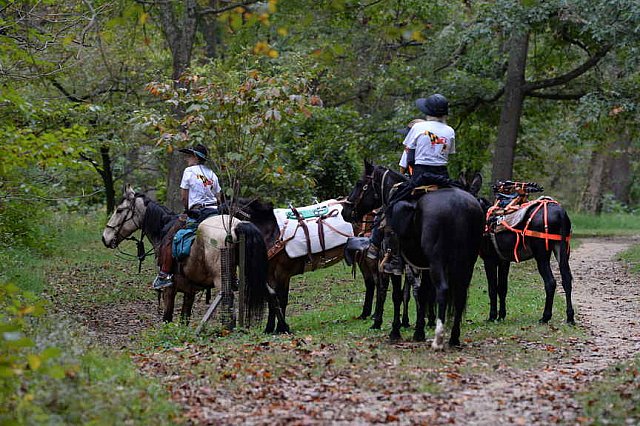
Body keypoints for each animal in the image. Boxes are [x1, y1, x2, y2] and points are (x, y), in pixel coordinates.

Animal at [101, 185, 278, 324]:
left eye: (119, 210)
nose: (105, 237)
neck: (164, 227)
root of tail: (235, 226)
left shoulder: (169, 290)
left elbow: (167, 318)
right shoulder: (190, 291)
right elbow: (184, 319)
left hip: (222, 280)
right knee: (271, 295)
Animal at [342, 161, 482, 350]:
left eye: (359, 183)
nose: (345, 210)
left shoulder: (393, 264)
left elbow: (396, 295)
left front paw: (394, 330)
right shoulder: (422, 266)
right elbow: (421, 294)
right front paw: (418, 331)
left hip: (437, 262)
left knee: (442, 290)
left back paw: (438, 339)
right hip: (466, 262)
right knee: (460, 294)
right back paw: (453, 338)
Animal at [464, 178, 576, 324]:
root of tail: (560, 213)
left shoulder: (489, 260)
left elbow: (492, 288)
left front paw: (492, 316)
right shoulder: (504, 261)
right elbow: (502, 288)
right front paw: (501, 316)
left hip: (542, 255)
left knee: (551, 282)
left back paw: (545, 316)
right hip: (561, 249)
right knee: (567, 279)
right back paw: (570, 317)